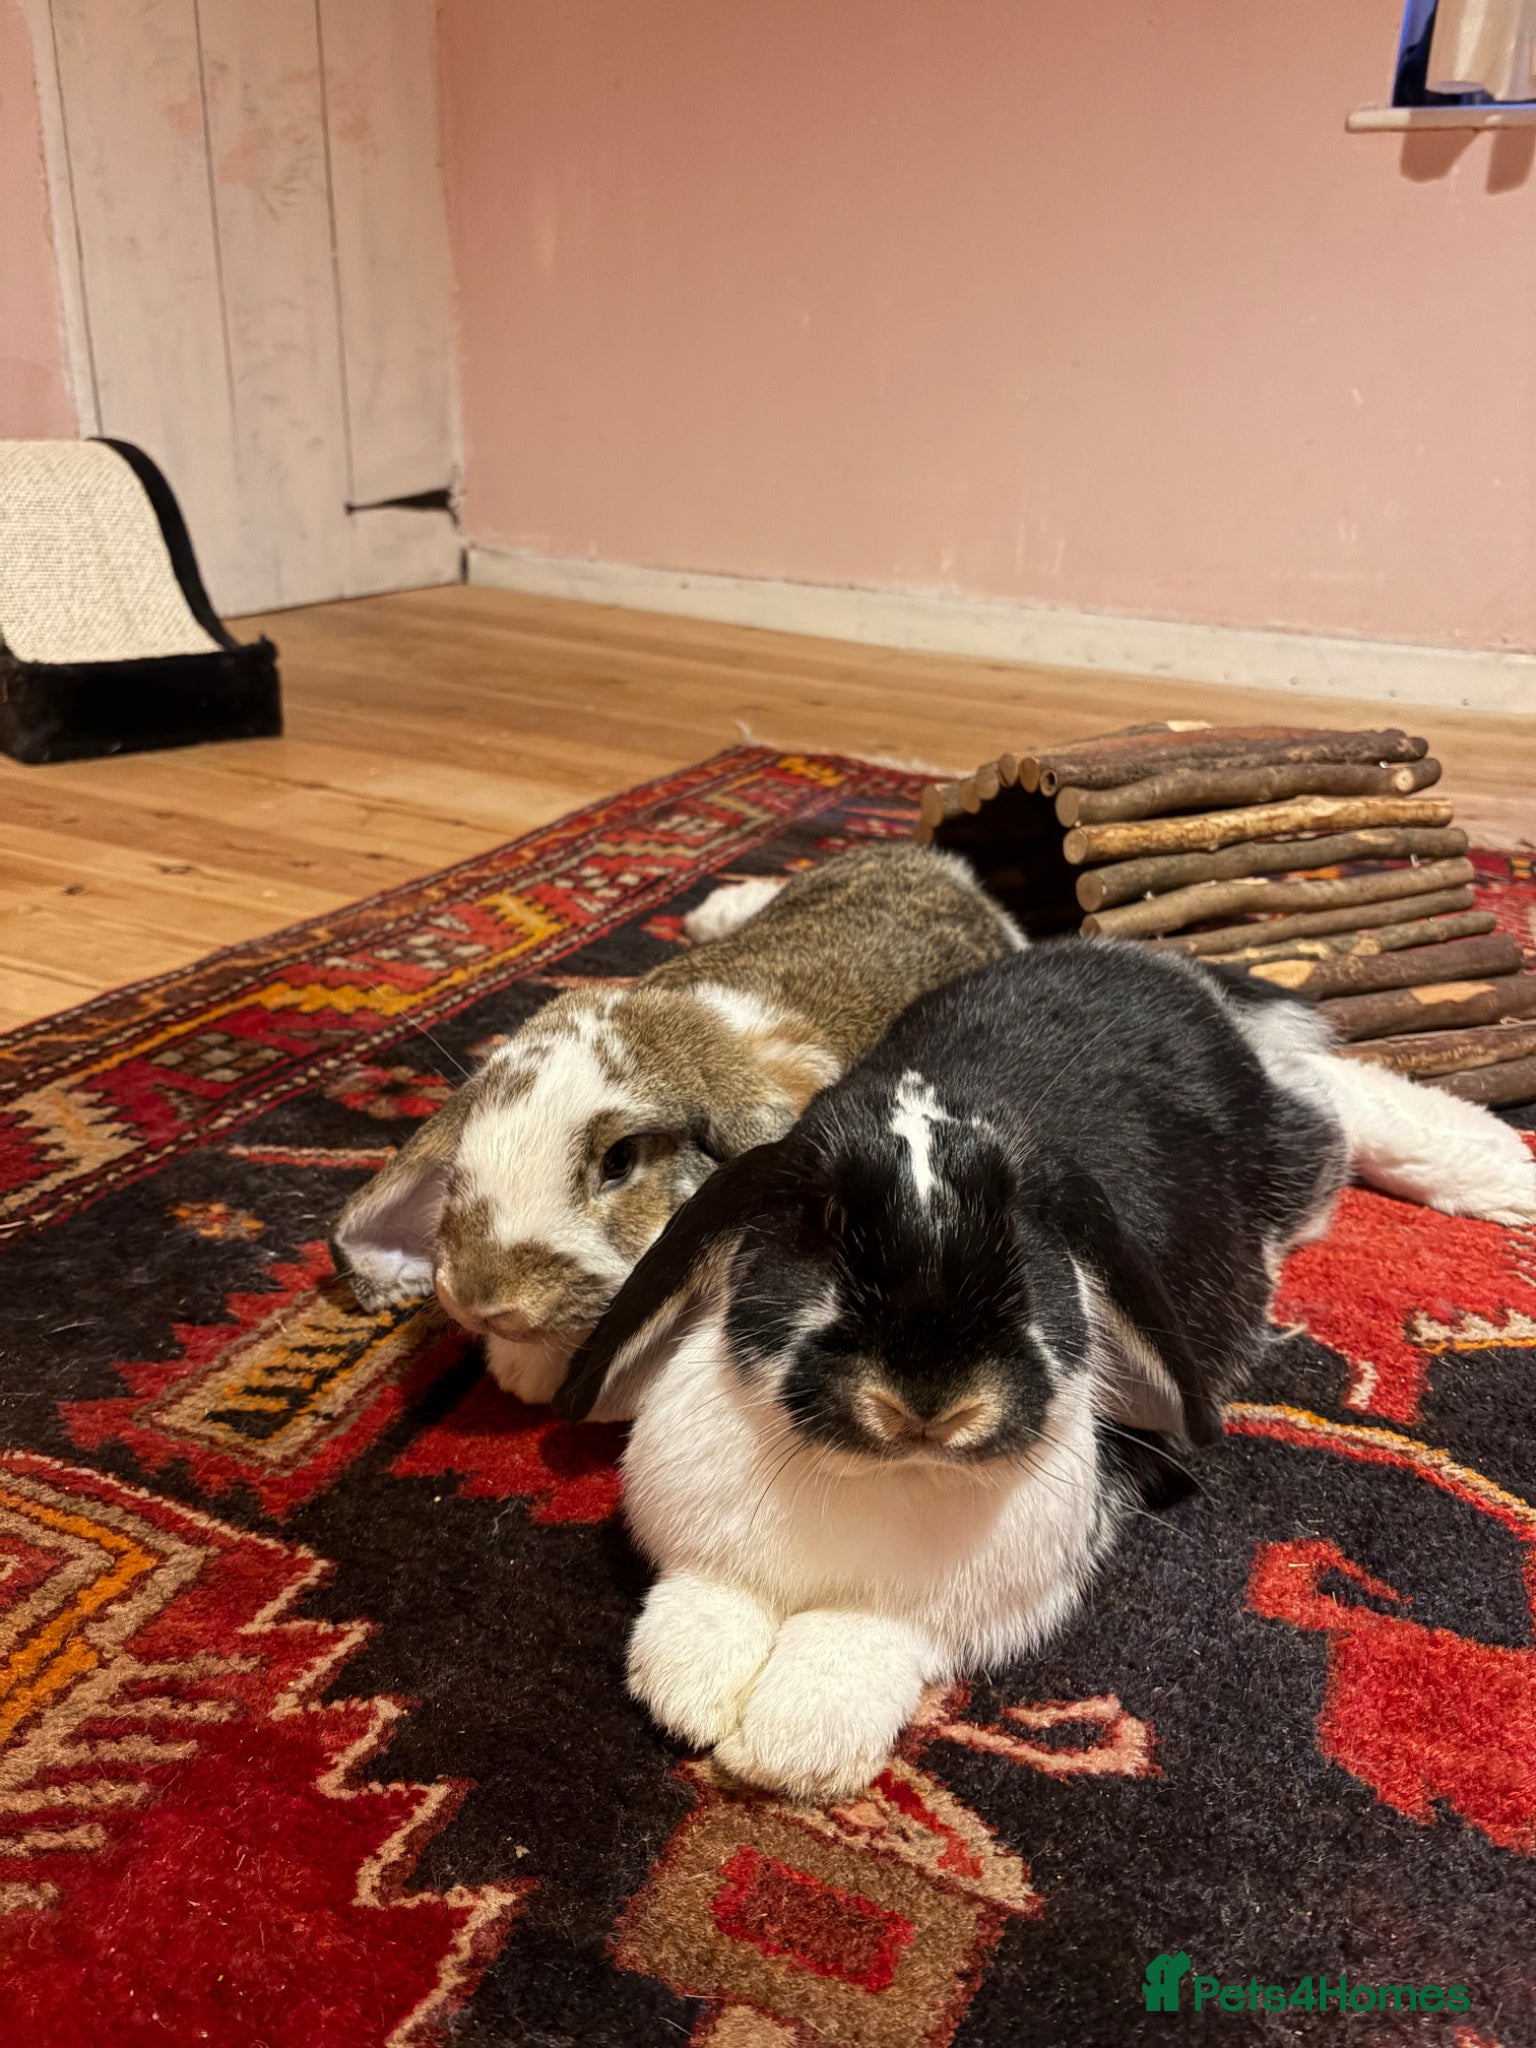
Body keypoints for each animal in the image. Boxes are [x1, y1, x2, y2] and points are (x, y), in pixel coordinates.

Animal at [554, 939, 1536, 1803]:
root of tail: (1152, 963)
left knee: (1342, 1095)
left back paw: (1499, 1174)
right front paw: (691, 1701)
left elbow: (846, 1654)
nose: (930, 1402)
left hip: (1295, 1155)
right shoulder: (709, 1564)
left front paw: (788, 1751)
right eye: (825, 1224)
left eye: (1025, 1235)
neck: (878, 1473)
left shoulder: (915, 1617)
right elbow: (695, 1617)